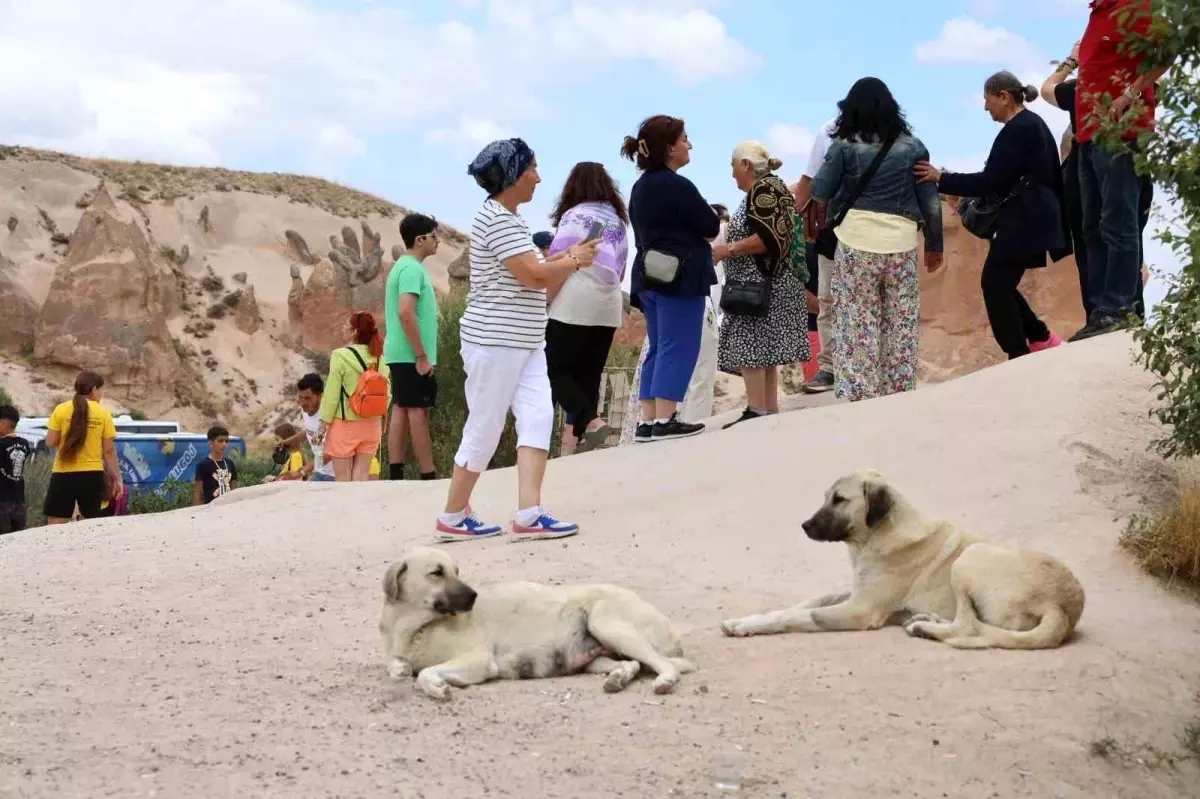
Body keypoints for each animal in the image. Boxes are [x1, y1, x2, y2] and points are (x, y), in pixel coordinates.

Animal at [374, 544, 696, 700]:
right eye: (437, 572)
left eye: (456, 571)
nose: (474, 596)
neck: (415, 626)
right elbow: (397, 667)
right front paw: (401, 668)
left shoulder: (478, 660)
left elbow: (426, 672)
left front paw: (436, 687)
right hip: (593, 657)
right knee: (630, 665)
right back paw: (617, 679)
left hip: (607, 625)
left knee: (663, 665)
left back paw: (664, 681)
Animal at [720, 467, 1089, 647]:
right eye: (826, 497)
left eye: (839, 499)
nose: (805, 526)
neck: (877, 535)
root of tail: (1064, 608)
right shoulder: (855, 591)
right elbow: (805, 603)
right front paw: (746, 620)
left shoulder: (860, 610)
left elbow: (799, 616)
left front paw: (750, 626)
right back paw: (926, 621)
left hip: (971, 557)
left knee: (968, 626)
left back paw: (926, 628)